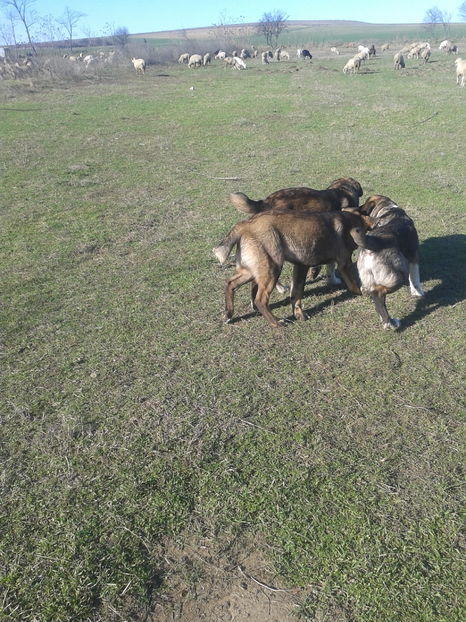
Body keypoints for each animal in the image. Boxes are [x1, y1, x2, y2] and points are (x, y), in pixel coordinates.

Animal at [212, 210, 372, 330]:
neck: (350, 221)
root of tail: (246, 225)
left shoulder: (300, 267)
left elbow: (296, 293)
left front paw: (298, 314)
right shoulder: (344, 264)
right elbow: (353, 284)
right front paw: (362, 292)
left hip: (250, 272)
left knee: (230, 284)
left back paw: (228, 314)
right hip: (272, 270)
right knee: (260, 300)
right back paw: (276, 322)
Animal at [350, 195, 426, 332]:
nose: (358, 208)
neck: (388, 209)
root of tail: (372, 243)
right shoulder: (413, 256)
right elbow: (415, 279)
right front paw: (418, 293)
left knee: (370, 292)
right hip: (398, 275)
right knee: (378, 294)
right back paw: (390, 323)